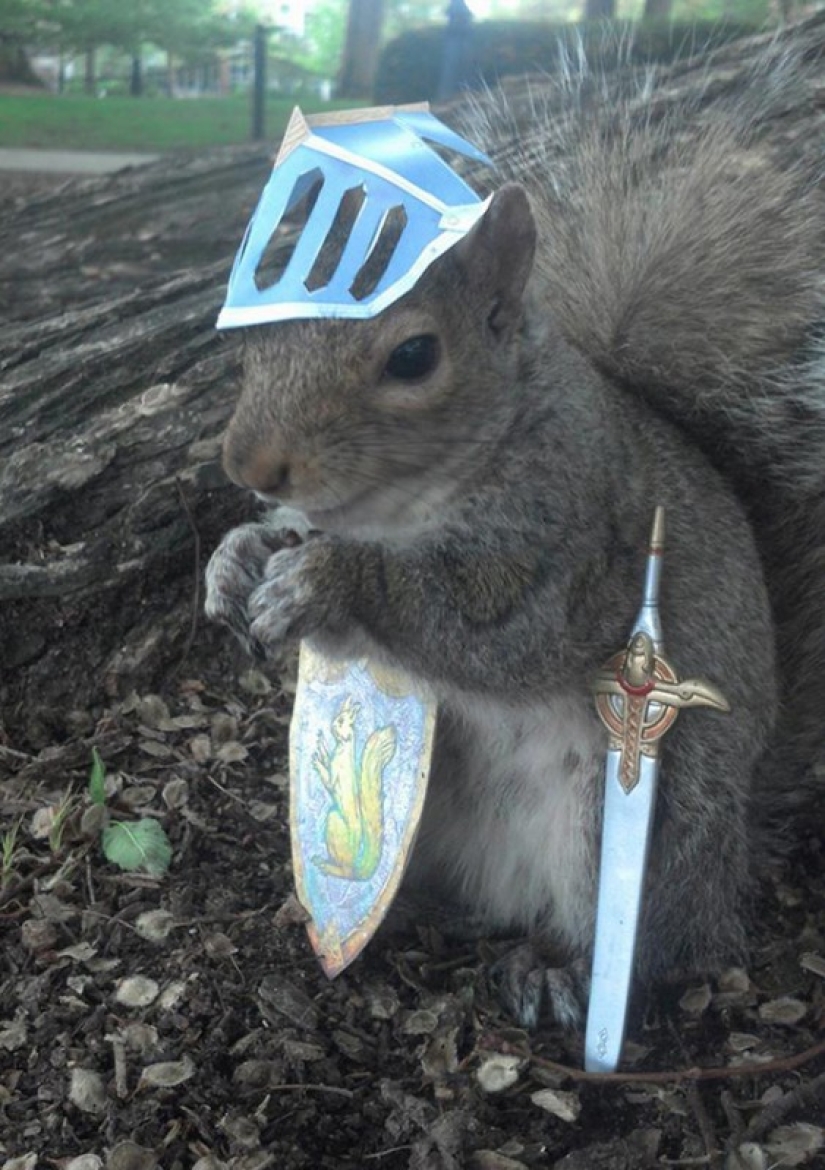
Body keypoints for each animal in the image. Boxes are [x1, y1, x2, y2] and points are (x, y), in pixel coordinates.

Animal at [205, 43, 825, 1029]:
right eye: (256, 347)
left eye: (413, 356)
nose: (249, 463)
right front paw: (235, 561)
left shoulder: (571, 555)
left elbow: (490, 634)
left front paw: (328, 581)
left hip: (636, 819)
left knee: (653, 943)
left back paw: (562, 969)